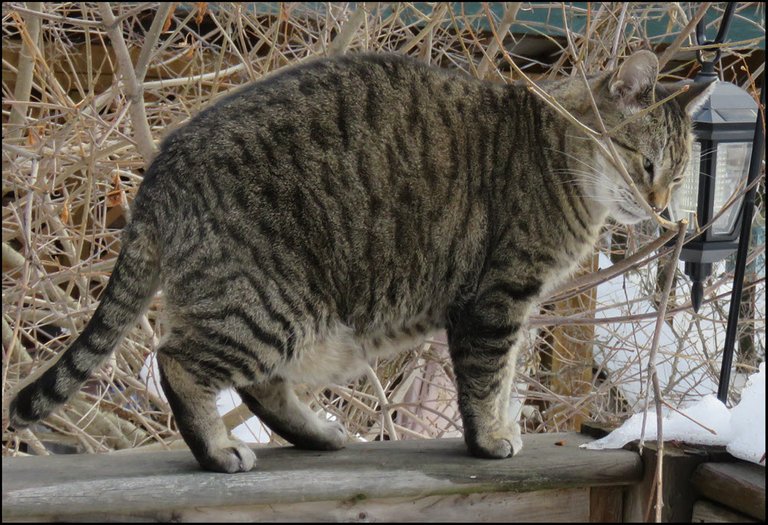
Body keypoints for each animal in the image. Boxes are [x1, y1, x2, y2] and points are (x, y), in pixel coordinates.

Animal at [9, 51, 712, 472]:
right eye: (646, 164)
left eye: (680, 177)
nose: (660, 208)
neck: (556, 155)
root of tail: (159, 171)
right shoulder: (498, 298)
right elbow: (488, 379)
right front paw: (491, 438)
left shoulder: (516, 304)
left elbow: (506, 373)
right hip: (269, 305)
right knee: (178, 361)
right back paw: (217, 448)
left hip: (301, 323)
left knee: (260, 384)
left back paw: (319, 435)